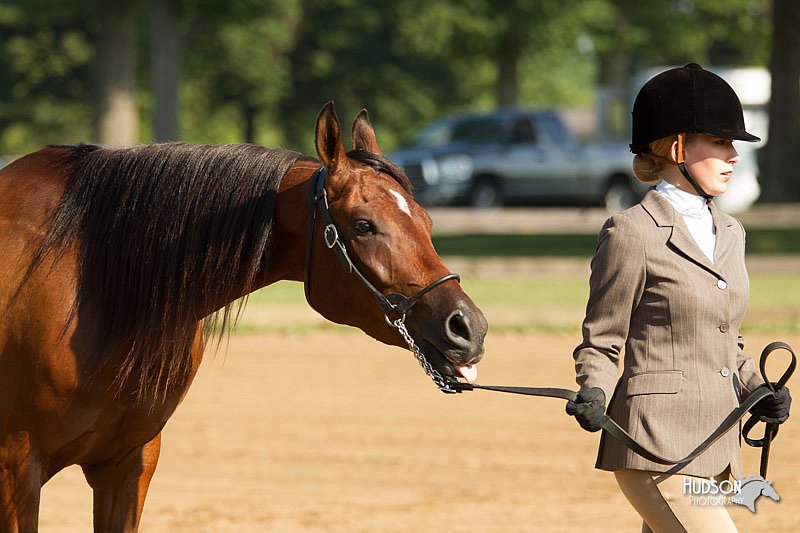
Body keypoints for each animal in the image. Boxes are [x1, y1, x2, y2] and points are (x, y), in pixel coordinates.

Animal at [0, 102, 488, 528]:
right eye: (364, 226)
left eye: (426, 220)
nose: (469, 327)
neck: (94, 284)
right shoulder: (17, 471)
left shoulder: (128, 465)